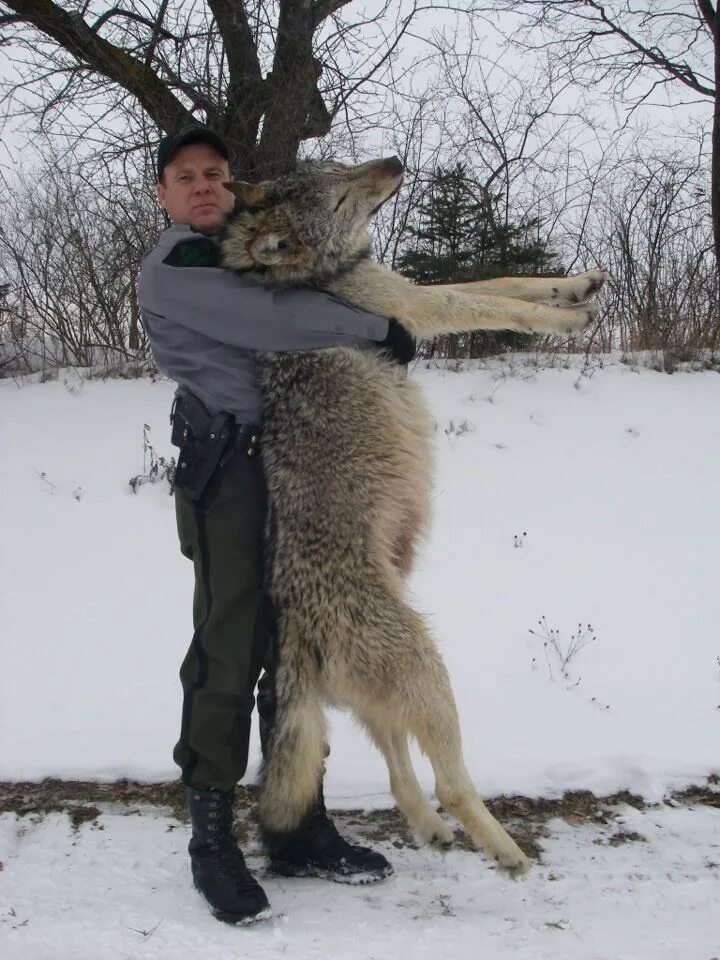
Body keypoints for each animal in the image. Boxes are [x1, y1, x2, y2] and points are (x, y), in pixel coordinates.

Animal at [221, 158, 608, 876]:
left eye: (336, 167)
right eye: (339, 191)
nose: (395, 163)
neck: (317, 276)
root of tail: (294, 637)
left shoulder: (412, 289)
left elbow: (502, 280)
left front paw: (578, 286)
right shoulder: (416, 309)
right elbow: (493, 303)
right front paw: (571, 321)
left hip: (390, 697)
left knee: (403, 777)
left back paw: (432, 831)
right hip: (428, 671)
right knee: (451, 782)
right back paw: (507, 853)